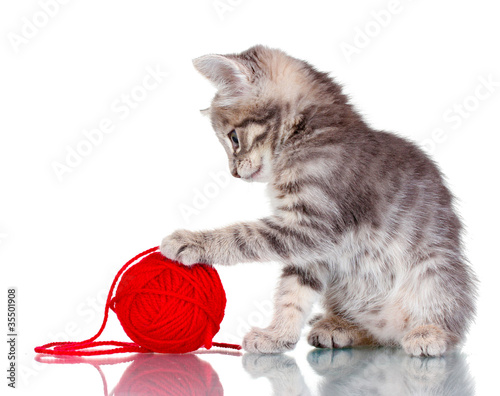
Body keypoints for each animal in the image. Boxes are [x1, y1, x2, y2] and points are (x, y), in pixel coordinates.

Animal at [160, 44, 476, 358]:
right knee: (371, 332)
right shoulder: (309, 251)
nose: (234, 173)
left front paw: (192, 241)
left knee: (449, 323)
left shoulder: (313, 225)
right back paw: (340, 326)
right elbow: (292, 293)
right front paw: (278, 335)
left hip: (434, 268)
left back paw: (429, 333)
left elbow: (243, 235)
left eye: (234, 138)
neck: (307, 136)